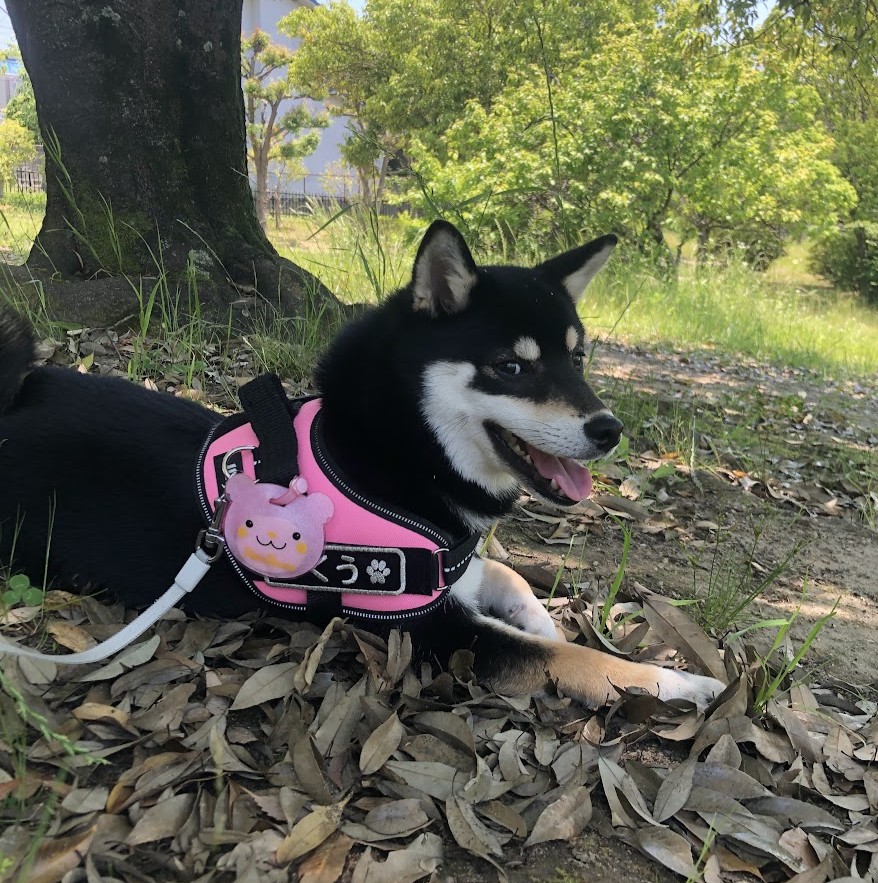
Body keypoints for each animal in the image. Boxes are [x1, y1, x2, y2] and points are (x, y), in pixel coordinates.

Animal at [0, 224, 724, 708]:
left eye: (576, 357)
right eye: (510, 367)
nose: (609, 430)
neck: (399, 452)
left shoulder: (458, 569)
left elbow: (514, 579)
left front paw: (545, 614)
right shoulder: (433, 628)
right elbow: (575, 659)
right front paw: (681, 678)